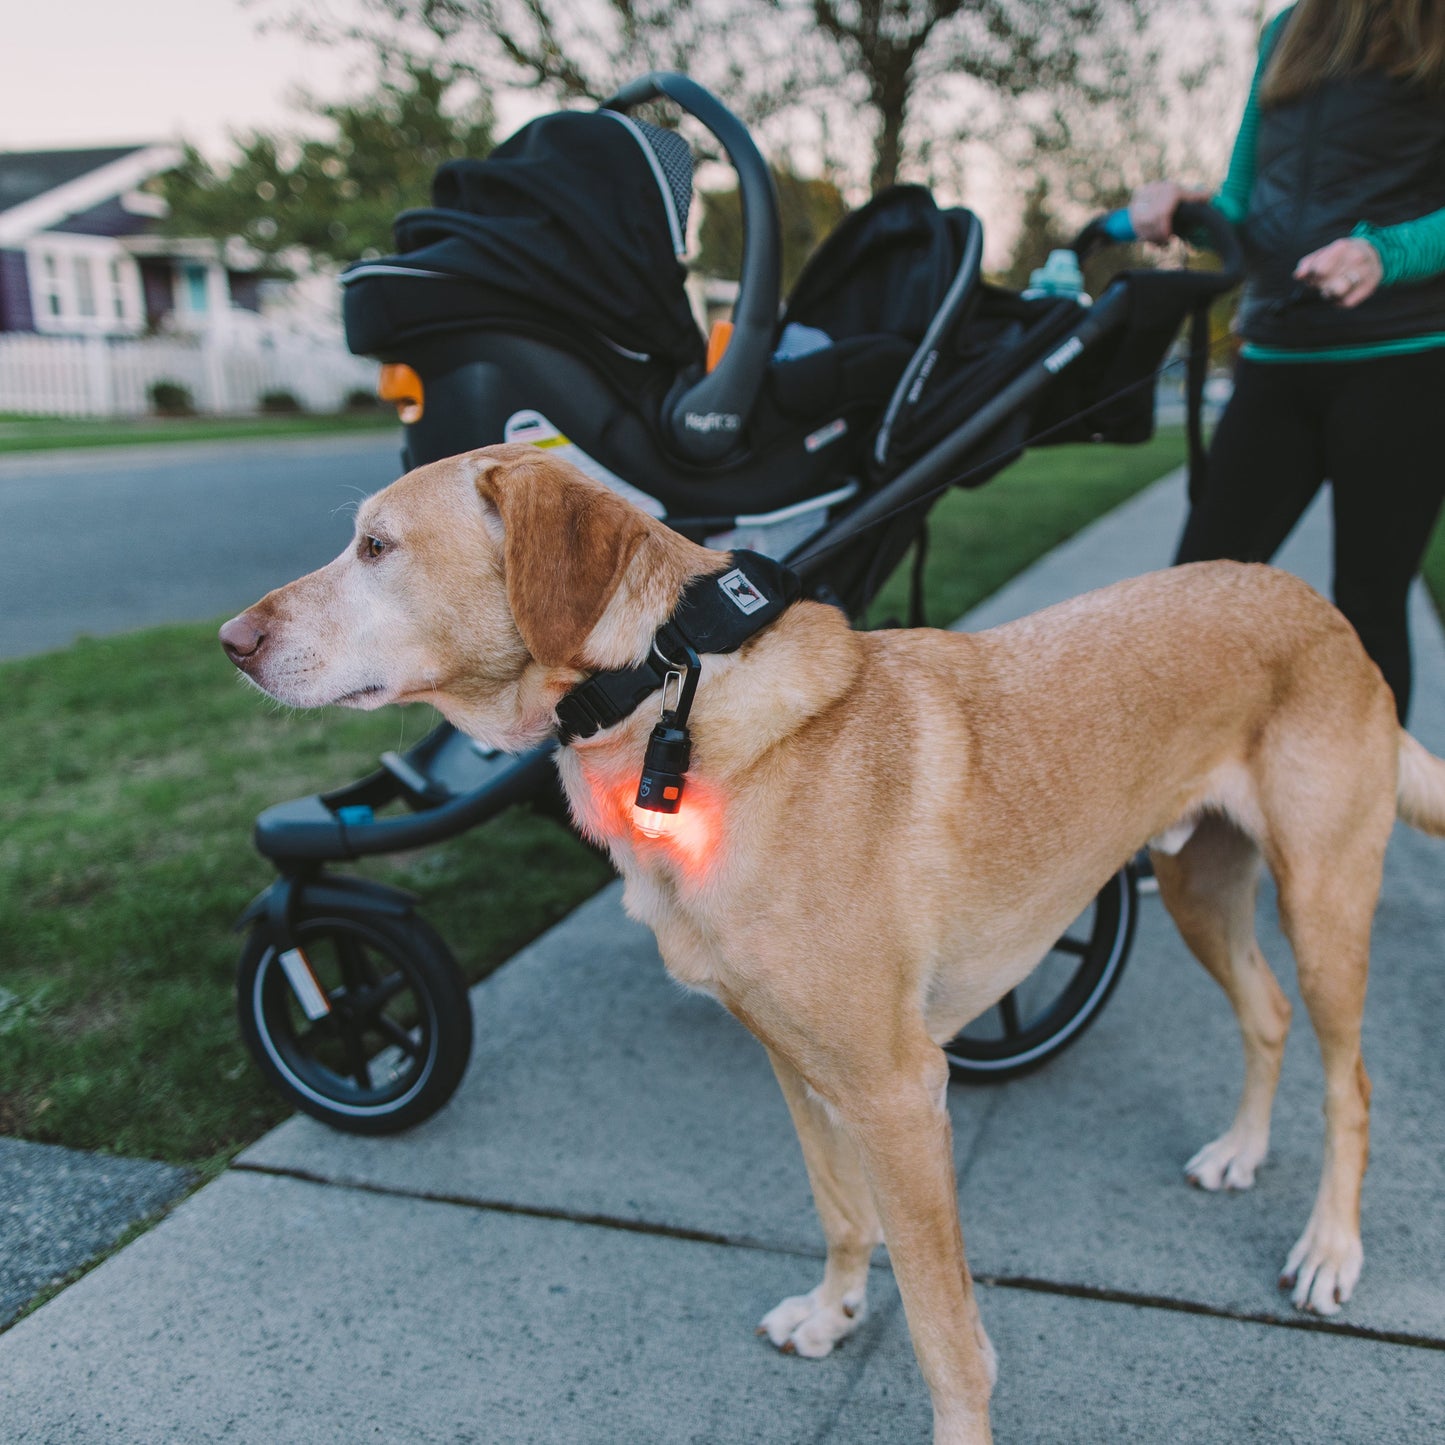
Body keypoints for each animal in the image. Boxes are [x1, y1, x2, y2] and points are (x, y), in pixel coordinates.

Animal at [219, 445, 1445, 1439]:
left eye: (377, 546)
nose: (229, 642)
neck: (668, 703)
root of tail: (1316, 601)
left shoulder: (901, 1091)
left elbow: (946, 1333)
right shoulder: (798, 1065)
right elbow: (838, 1208)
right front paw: (834, 1308)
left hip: (1321, 903)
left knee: (1350, 1079)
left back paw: (1330, 1248)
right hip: (1197, 885)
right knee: (1264, 1012)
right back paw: (1240, 1150)